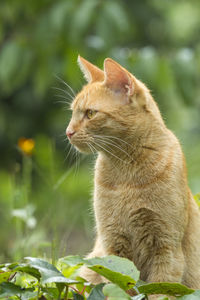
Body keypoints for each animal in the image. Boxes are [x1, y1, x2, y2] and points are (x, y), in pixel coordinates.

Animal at [66, 55, 200, 296]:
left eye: (90, 113)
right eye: (72, 113)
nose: (68, 132)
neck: (126, 173)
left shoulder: (167, 248)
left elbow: (159, 291)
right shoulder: (113, 246)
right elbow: (118, 286)